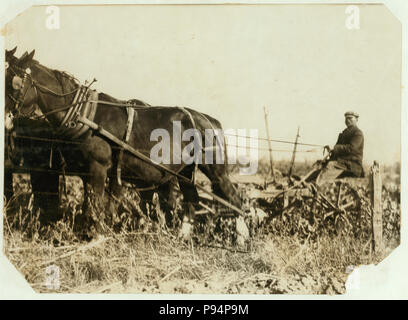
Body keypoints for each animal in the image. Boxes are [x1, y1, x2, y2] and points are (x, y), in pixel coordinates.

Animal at [4, 47, 242, 238]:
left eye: (13, 84)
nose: (5, 119)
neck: (85, 114)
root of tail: (208, 118)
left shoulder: (99, 167)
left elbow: (98, 204)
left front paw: (97, 236)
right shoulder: (85, 172)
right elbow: (89, 205)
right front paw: (86, 232)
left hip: (215, 168)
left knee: (234, 198)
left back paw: (241, 238)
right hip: (185, 171)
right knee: (191, 200)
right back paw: (182, 237)